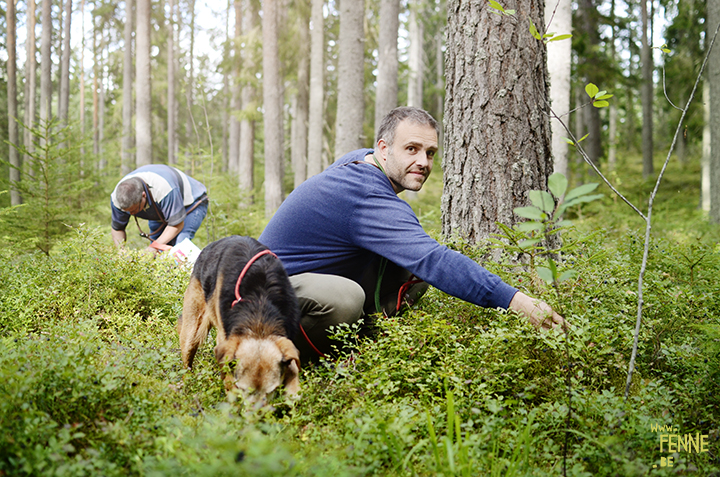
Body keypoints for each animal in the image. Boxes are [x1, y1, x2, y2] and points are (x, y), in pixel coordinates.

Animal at [180, 234, 304, 406]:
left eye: (271, 391)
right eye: (243, 389)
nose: (255, 413)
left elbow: (293, 371)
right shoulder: (225, 341)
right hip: (192, 330)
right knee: (187, 362)